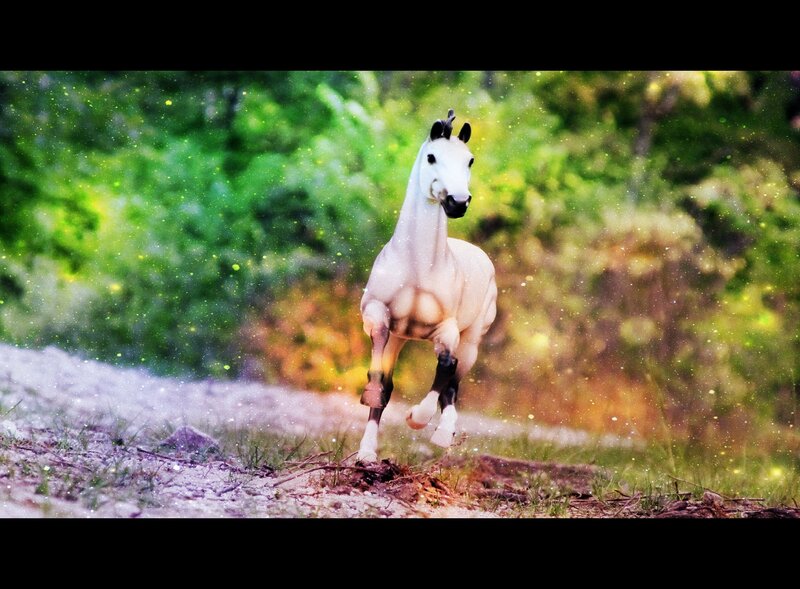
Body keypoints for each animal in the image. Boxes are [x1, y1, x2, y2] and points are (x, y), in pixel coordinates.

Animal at [356, 109, 498, 463]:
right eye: (432, 157)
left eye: (470, 160)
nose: (458, 202)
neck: (417, 269)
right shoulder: (378, 316)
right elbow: (380, 379)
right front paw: (367, 447)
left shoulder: (446, 329)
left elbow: (446, 367)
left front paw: (417, 419)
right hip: (401, 338)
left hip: (472, 340)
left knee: (453, 382)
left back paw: (443, 434)